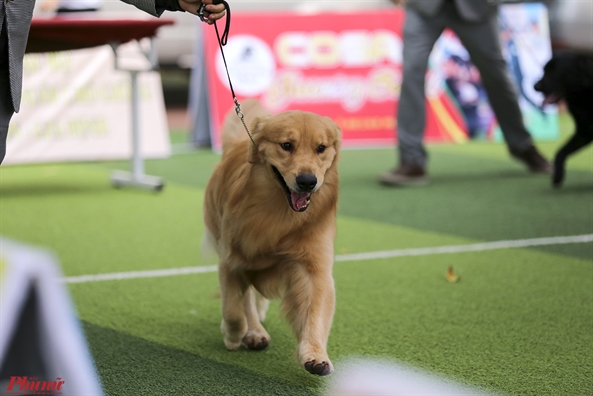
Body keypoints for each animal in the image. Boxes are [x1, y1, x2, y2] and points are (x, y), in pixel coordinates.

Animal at [532, 51, 592, 187]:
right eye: (544, 70)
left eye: (556, 71)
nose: (535, 86)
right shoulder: (583, 133)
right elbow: (560, 151)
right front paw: (557, 176)